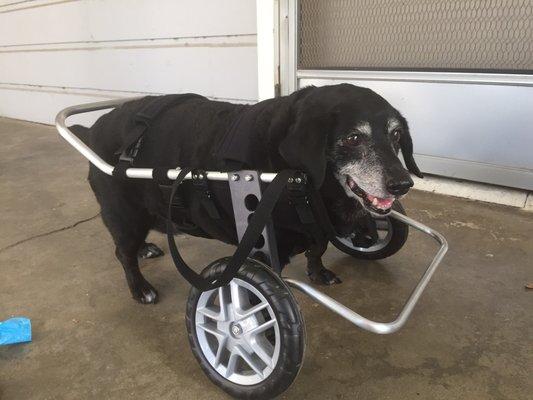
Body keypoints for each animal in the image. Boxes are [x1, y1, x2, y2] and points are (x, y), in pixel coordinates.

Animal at [75, 84, 422, 304]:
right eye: (353, 138)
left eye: (396, 135)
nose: (402, 185)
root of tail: (93, 129)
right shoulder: (261, 251)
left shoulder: (318, 227)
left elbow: (318, 247)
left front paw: (318, 270)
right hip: (124, 214)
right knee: (122, 253)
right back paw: (140, 287)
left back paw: (145, 248)